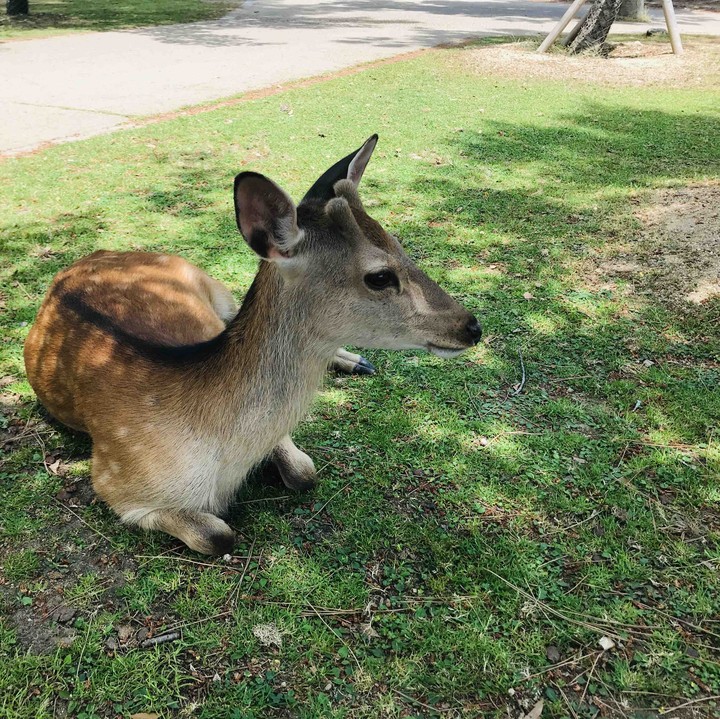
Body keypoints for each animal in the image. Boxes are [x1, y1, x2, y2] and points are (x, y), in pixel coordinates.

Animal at [24, 135, 482, 555]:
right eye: (380, 276)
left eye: (399, 245)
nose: (472, 326)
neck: (220, 455)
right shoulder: (117, 484)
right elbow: (218, 535)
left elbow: (305, 472)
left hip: (214, 288)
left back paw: (355, 361)